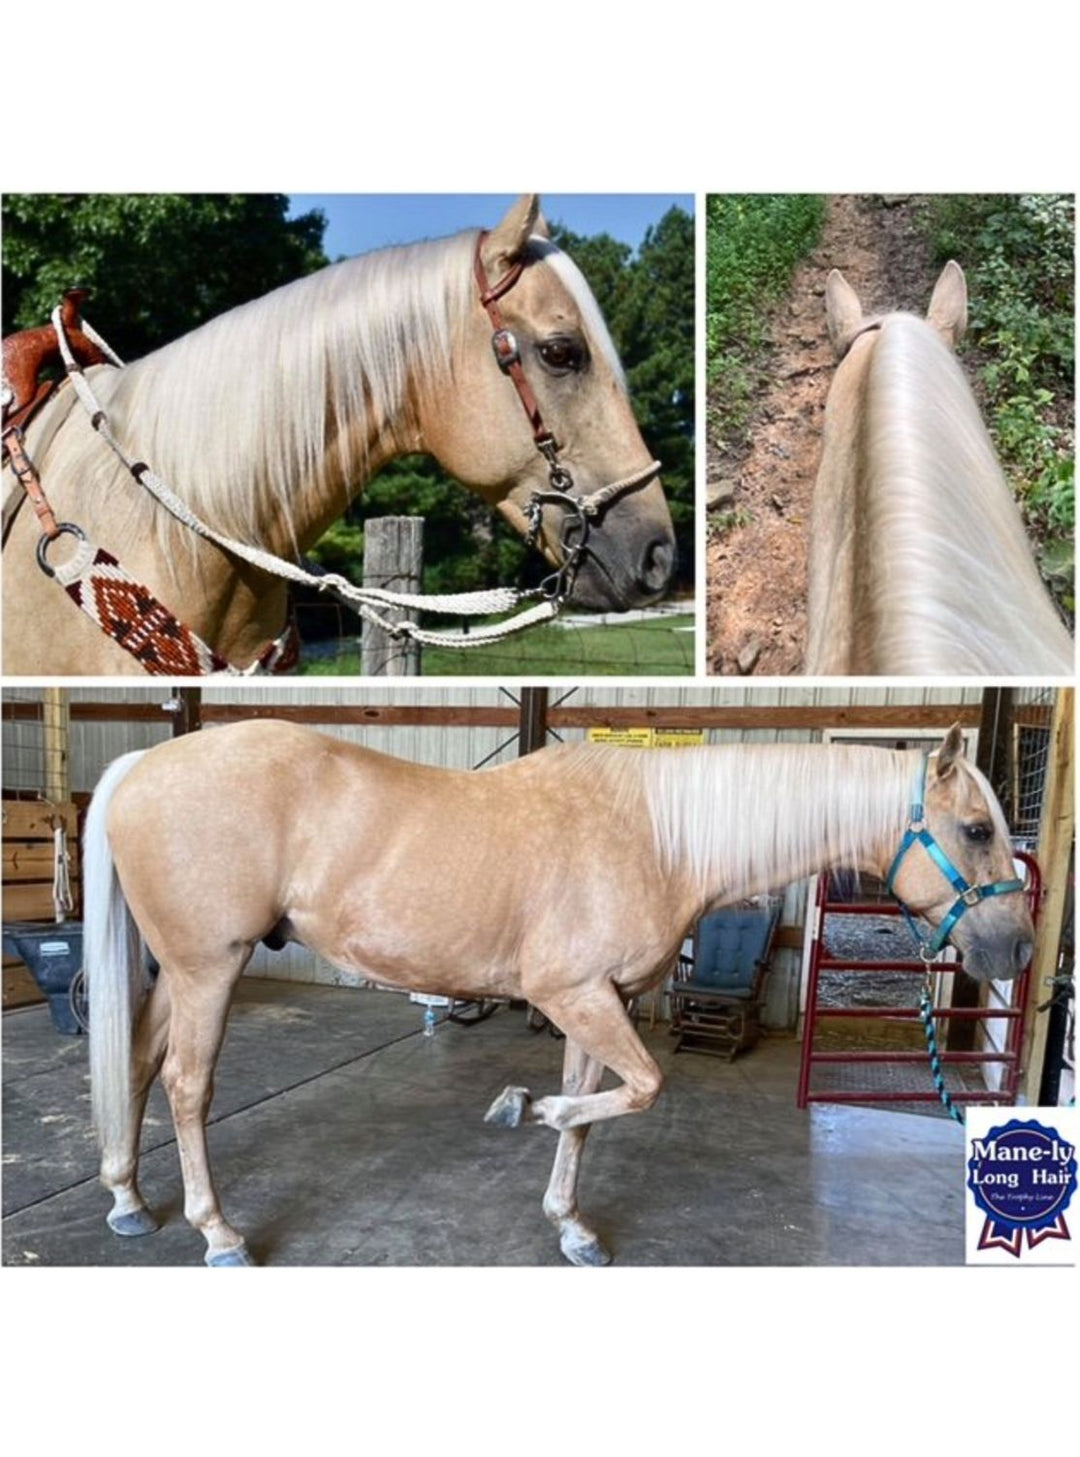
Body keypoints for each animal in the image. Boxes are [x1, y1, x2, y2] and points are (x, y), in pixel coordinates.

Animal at [82, 719, 1034, 1266]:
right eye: (975, 829)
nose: (1018, 945)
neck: (660, 836)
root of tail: (140, 762)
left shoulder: (595, 1000)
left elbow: (592, 1105)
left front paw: (569, 1221)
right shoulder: (576, 994)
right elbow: (637, 1089)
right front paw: (520, 1106)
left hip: (182, 971)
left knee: (136, 1063)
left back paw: (128, 1199)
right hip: (211, 967)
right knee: (187, 1087)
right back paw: (217, 1232)